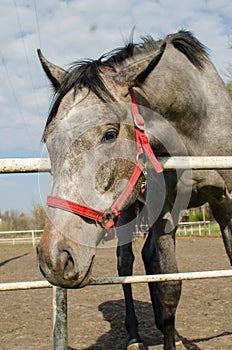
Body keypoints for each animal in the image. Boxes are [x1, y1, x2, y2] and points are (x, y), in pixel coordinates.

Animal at [36, 30, 232, 350]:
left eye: (110, 134)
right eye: (49, 140)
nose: (54, 259)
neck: (198, 120)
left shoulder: (225, 205)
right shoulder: (166, 211)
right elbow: (168, 287)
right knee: (126, 263)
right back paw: (134, 335)